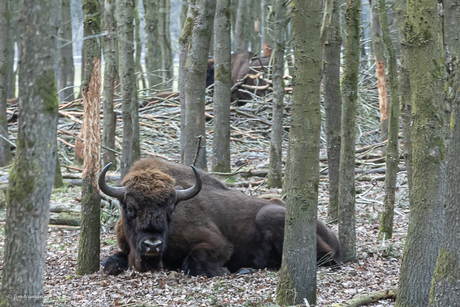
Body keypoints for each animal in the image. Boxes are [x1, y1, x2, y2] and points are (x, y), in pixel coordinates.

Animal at [100, 160, 342, 278]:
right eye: (130, 207)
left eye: (170, 209)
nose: (153, 244)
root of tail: (333, 235)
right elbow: (110, 263)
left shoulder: (217, 243)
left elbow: (194, 262)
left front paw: (225, 271)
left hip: (270, 216)